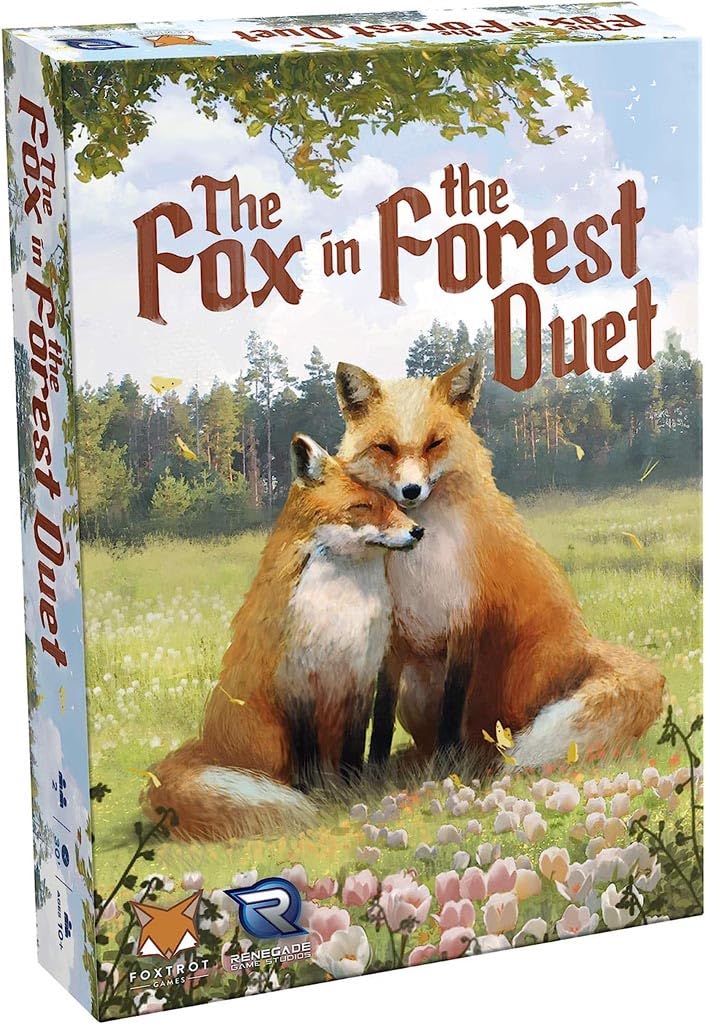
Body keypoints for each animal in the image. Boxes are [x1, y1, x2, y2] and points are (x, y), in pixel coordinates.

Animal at [142, 433, 423, 841]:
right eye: (362, 507)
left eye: (395, 504)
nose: (418, 531)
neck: (340, 610)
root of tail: (207, 745)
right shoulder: (296, 680)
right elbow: (306, 755)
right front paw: (316, 796)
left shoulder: (360, 677)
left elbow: (355, 746)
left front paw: (354, 789)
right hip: (270, 738)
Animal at [335, 357, 665, 769]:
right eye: (385, 447)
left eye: (434, 443)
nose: (411, 491)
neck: (421, 564)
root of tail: (586, 647)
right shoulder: (393, 636)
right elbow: (381, 712)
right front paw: (373, 768)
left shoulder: (465, 621)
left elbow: (452, 704)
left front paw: (447, 764)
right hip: (416, 691)